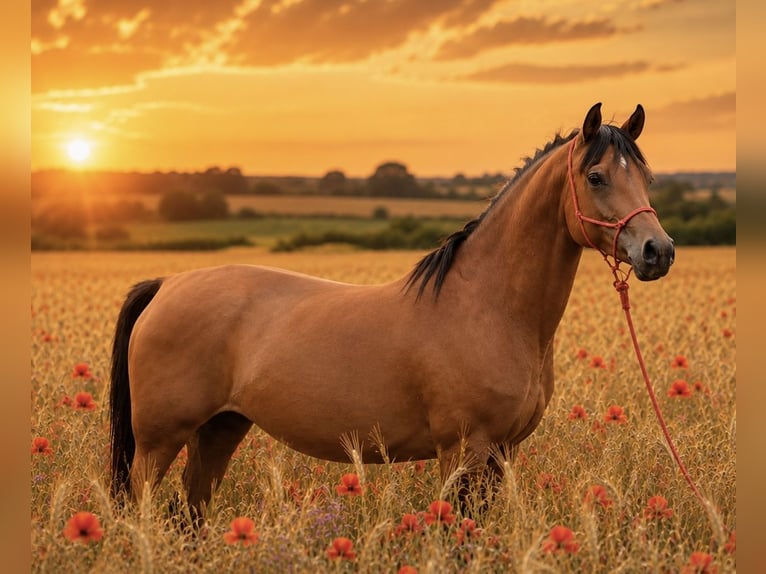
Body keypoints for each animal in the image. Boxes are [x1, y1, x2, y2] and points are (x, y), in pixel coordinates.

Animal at [109, 103, 674, 520]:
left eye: (647, 177)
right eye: (596, 176)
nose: (658, 251)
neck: (489, 308)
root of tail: (167, 285)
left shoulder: (502, 453)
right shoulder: (464, 450)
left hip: (220, 429)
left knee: (191, 509)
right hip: (158, 442)